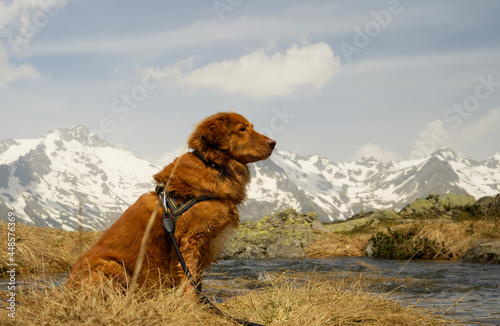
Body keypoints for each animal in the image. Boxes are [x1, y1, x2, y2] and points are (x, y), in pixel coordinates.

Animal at [67, 112, 278, 292]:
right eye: (242, 129)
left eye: (251, 127)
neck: (213, 165)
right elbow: (190, 283)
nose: (274, 142)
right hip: (111, 264)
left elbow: (196, 281)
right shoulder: (189, 241)